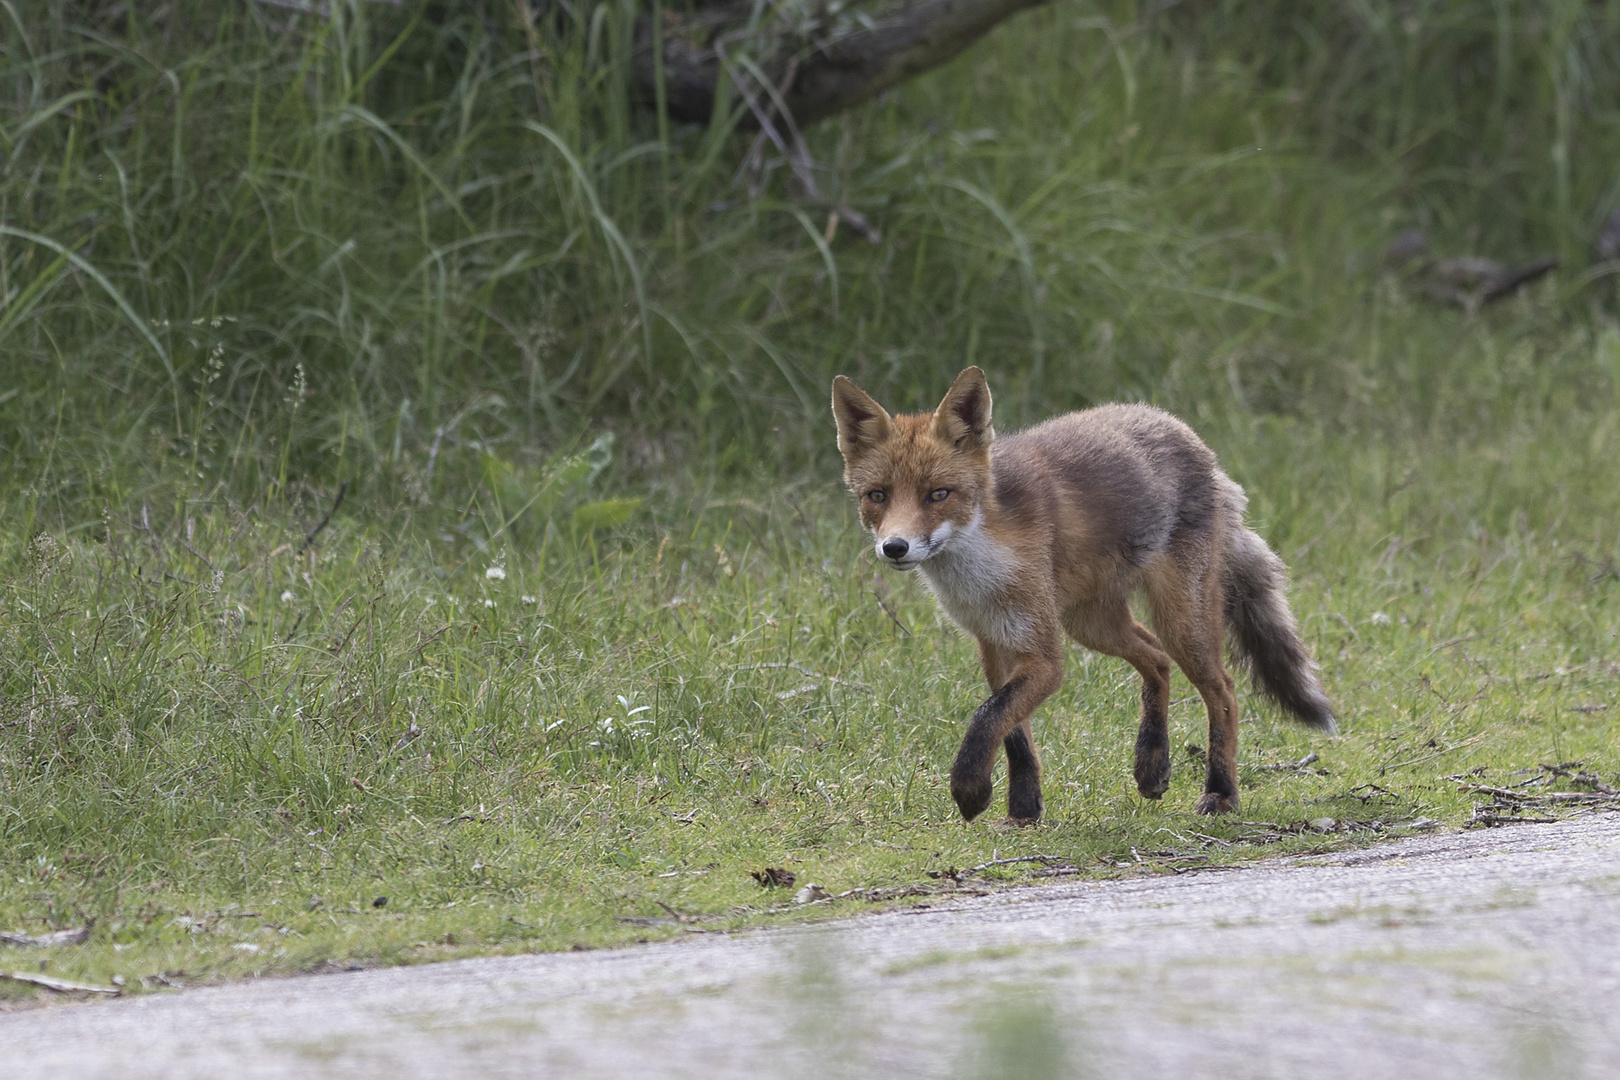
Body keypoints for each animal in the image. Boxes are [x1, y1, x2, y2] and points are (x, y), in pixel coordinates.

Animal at [829, 367, 1334, 822]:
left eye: (938, 494)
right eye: (877, 496)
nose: (895, 547)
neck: (982, 564)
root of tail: (1185, 432)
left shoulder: (1044, 656)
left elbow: (987, 717)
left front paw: (970, 792)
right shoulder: (993, 642)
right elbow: (1012, 732)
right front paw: (1024, 808)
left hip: (1181, 622)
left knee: (1223, 691)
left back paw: (1221, 793)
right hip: (1092, 624)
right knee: (1156, 660)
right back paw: (1152, 764)